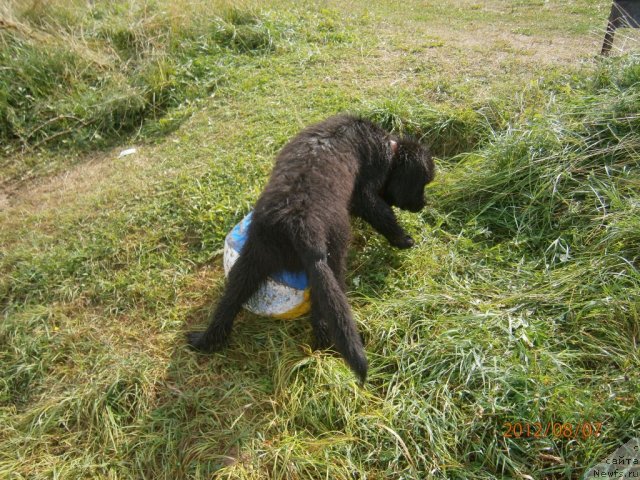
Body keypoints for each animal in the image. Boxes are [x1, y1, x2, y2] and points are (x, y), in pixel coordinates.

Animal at [186, 113, 436, 382]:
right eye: (422, 183)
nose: (424, 204)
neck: (389, 145)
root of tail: (298, 224)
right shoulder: (367, 187)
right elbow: (381, 212)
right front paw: (405, 240)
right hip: (333, 257)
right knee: (326, 312)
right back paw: (327, 350)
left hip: (253, 257)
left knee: (230, 299)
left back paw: (204, 340)